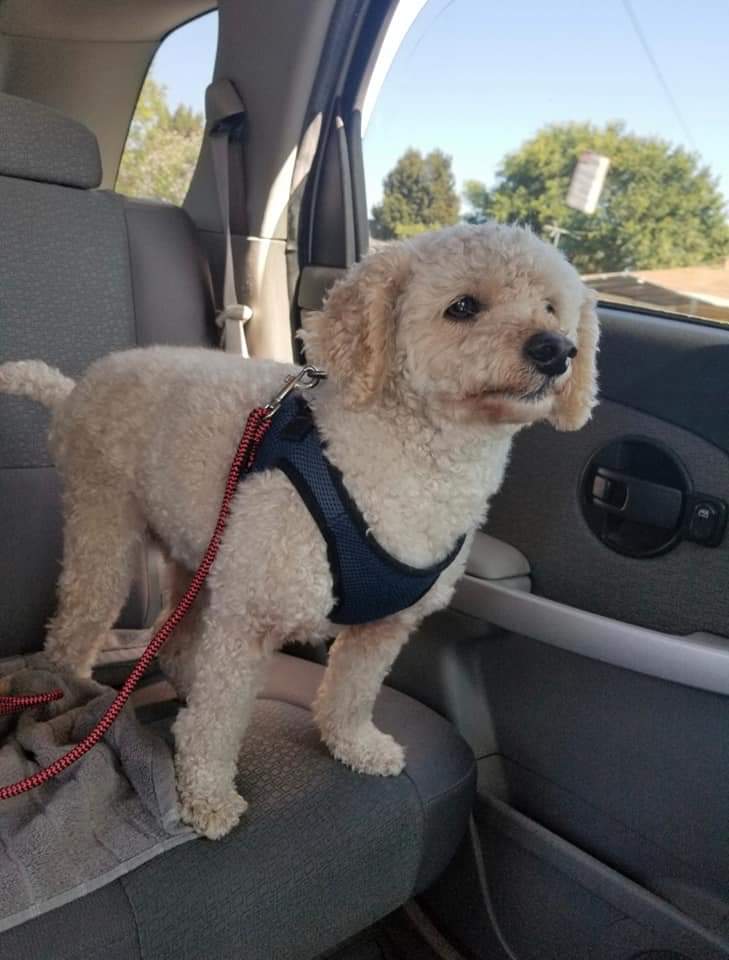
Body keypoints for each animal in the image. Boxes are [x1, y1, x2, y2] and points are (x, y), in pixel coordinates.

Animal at [0, 223, 599, 838]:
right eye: (463, 307)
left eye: (552, 308)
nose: (556, 349)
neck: (401, 464)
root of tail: (75, 387)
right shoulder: (251, 614)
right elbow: (216, 724)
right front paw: (207, 794)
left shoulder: (384, 625)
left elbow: (354, 691)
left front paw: (354, 744)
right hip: (104, 525)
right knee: (76, 626)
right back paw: (70, 701)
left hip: (204, 549)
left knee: (179, 631)